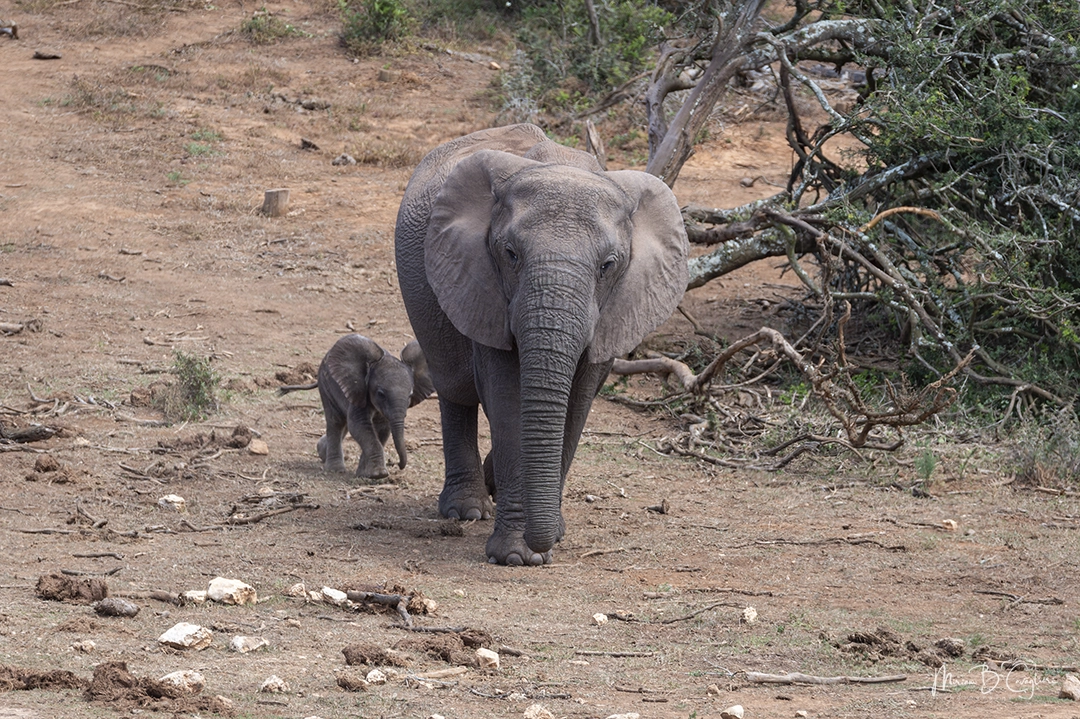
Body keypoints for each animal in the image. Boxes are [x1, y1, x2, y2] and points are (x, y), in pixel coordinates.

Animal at [279, 334, 434, 478]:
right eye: (381, 394)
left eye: (410, 395)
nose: (398, 464)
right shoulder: (360, 390)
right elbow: (359, 425)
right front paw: (379, 474)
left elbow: (382, 429)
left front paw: (364, 474)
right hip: (325, 384)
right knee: (336, 421)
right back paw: (335, 469)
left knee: (344, 423)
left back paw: (322, 451)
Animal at [395, 123, 688, 565]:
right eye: (510, 254)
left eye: (608, 265)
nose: (542, 542)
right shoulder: (485, 286)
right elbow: (506, 400)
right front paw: (518, 557)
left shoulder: (615, 307)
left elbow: (577, 403)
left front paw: (554, 534)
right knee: (456, 389)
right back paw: (467, 510)